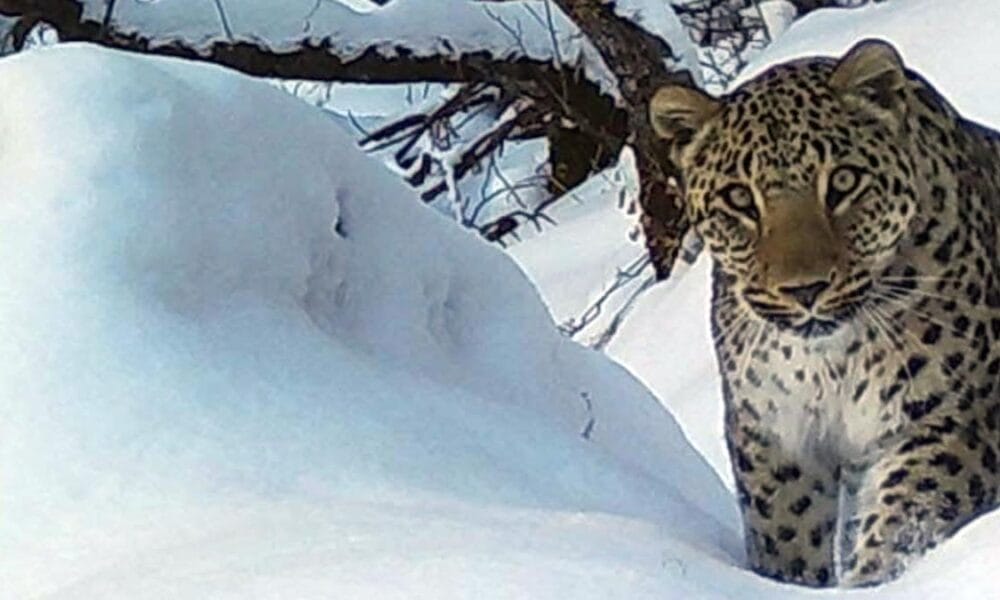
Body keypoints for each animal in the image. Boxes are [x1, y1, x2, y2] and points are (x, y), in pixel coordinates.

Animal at [648, 39, 1000, 587]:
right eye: (739, 198)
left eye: (844, 182)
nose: (805, 289)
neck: (830, 359)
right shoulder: (774, 435)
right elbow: (786, 534)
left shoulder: (954, 418)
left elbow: (905, 524)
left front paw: (879, 582)